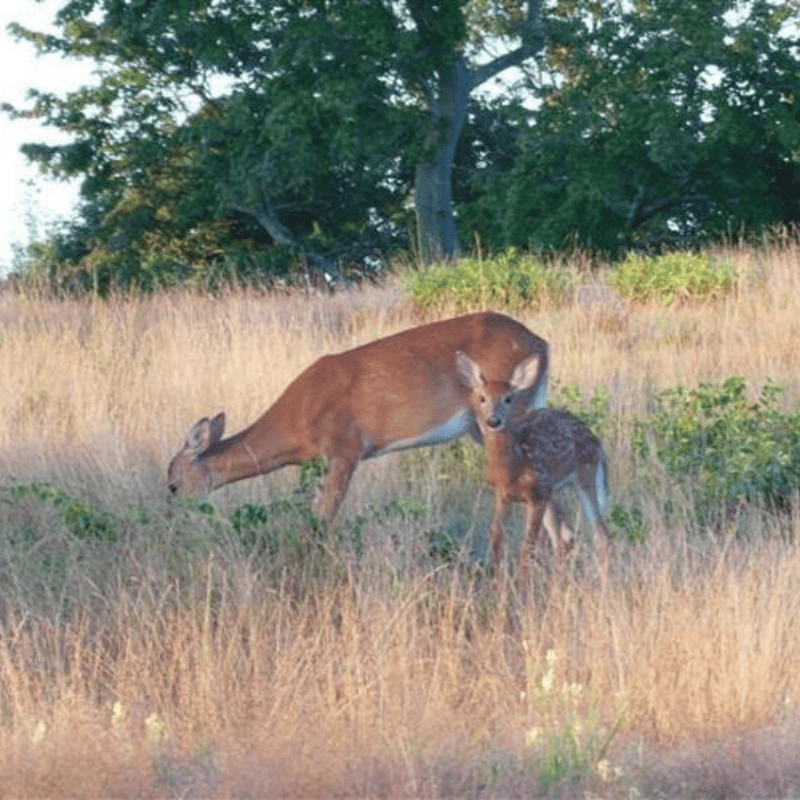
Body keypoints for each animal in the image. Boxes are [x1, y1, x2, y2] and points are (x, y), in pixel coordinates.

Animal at [167, 312, 549, 524]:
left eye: (172, 484)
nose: (172, 518)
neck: (295, 424)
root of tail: (542, 343)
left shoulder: (345, 449)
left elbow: (322, 518)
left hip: (505, 416)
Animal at [455, 350, 610, 580]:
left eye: (508, 398)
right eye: (482, 398)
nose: (493, 421)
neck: (511, 468)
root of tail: (597, 441)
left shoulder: (537, 494)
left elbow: (527, 548)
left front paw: (522, 586)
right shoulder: (503, 495)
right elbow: (496, 535)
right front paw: (500, 582)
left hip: (585, 476)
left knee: (599, 533)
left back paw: (603, 583)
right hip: (554, 492)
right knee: (564, 538)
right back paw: (558, 583)